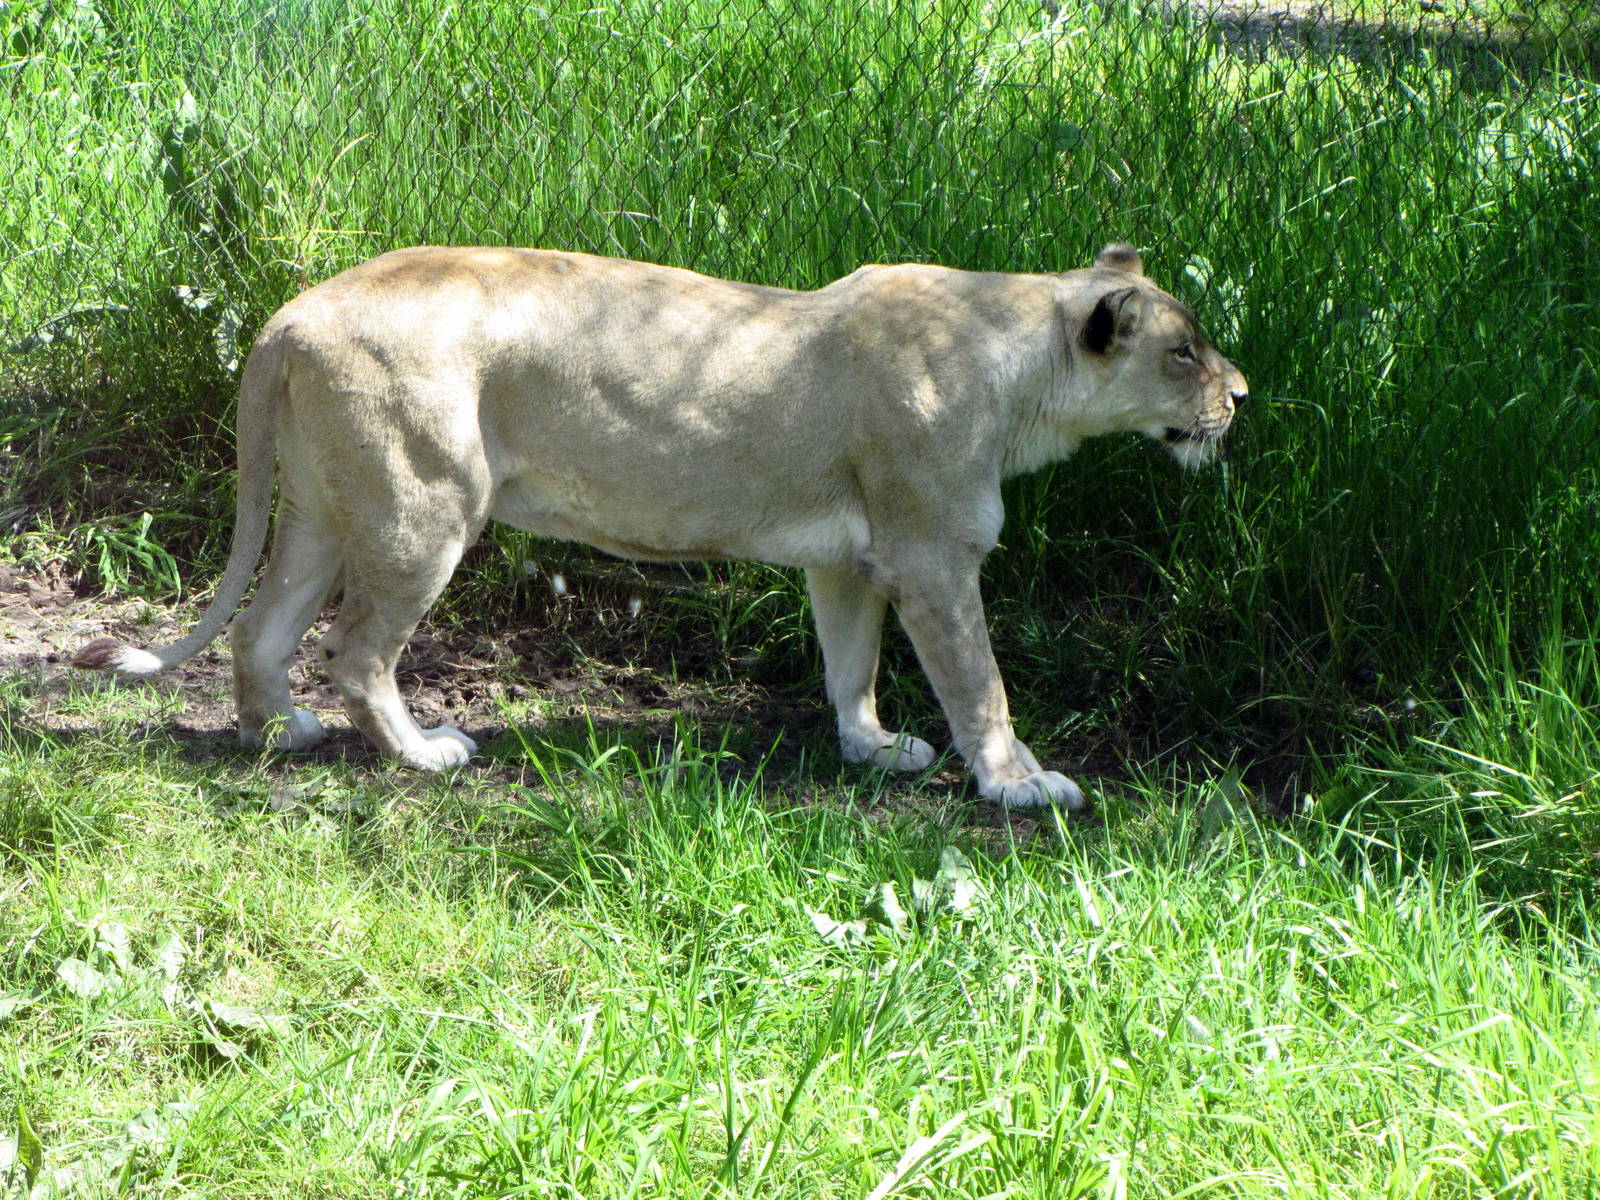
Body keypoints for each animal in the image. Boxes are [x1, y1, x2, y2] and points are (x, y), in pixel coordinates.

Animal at [75, 242, 1246, 809]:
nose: (1240, 396)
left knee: (258, 629)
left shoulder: (853, 559)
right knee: (358, 652)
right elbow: (980, 684)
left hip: (326, 507)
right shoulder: (932, 553)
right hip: (423, 507)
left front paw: (871, 751)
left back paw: (279, 731)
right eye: (1181, 352)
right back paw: (421, 754)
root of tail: (291, 312)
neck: (1018, 363)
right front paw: (1018, 784)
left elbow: (852, 664)